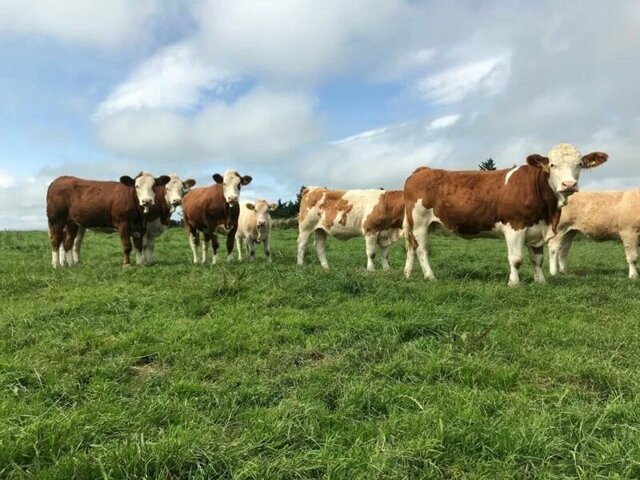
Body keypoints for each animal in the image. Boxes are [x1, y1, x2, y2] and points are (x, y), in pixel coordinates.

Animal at [403, 143, 608, 285]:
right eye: (552, 164)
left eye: (580, 164)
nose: (569, 184)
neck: (548, 213)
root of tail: (423, 170)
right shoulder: (515, 226)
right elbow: (516, 259)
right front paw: (514, 283)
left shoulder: (537, 230)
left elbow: (537, 259)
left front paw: (540, 281)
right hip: (420, 223)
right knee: (422, 250)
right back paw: (430, 276)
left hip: (421, 225)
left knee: (412, 247)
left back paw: (408, 274)